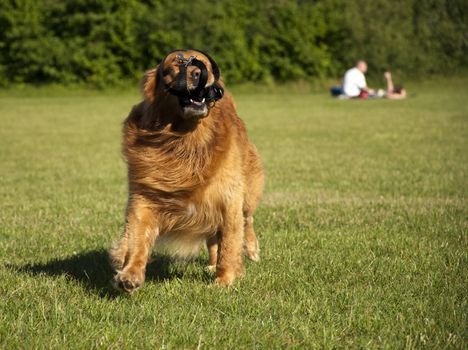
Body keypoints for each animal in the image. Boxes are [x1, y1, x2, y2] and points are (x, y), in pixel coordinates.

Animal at [109, 49, 264, 292]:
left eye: (206, 65)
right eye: (178, 61)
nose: (198, 74)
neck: (183, 139)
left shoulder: (228, 197)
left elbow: (230, 243)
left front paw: (225, 280)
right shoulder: (144, 196)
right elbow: (136, 238)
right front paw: (130, 274)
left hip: (247, 190)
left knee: (247, 220)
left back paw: (251, 249)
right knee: (214, 239)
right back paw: (211, 264)